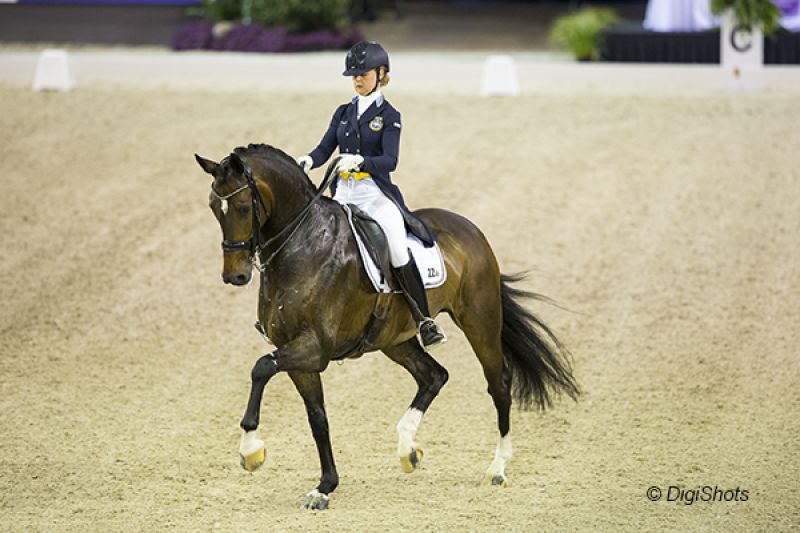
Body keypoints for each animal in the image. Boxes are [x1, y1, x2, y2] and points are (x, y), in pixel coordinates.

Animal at [196, 143, 580, 510]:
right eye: (215, 208)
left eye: (243, 208)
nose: (235, 276)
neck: (303, 244)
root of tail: (469, 228)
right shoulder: (297, 353)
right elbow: (317, 418)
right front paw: (324, 487)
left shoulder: (315, 348)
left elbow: (261, 368)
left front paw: (251, 452)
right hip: (394, 338)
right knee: (433, 375)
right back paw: (408, 449)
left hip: (479, 320)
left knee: (498, 383)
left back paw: (497, 469)